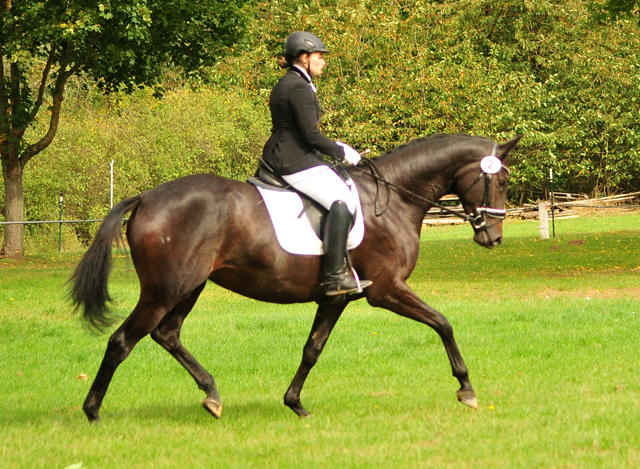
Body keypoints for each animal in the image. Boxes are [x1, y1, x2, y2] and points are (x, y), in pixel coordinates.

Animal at [71, 131, 520, 420]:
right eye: (499, 179)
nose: (494, 237)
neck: (392, 200)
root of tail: (147, 198)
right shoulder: (387, 289)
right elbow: (443, 323)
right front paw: (466, 389)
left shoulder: (337, 297)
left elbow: (312, 349)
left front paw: (294, 403)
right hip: (164, 290)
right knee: (123, 341)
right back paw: (92, 412)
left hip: (188, 287)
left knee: (167, 334)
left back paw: (212, 395)